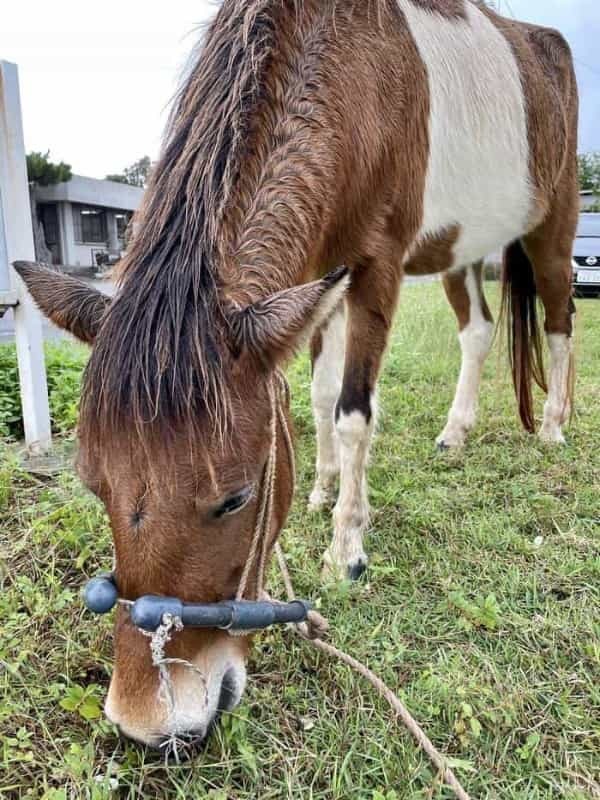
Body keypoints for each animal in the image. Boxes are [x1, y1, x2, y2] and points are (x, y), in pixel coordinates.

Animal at [16, 0, 580, 752]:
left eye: (235, 498)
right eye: (92, 484)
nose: (149, 723)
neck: (353, 68)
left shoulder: (373, 268)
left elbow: (352, 411)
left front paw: (346, 550)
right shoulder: (320, 273)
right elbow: (314, 397)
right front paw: (320, 489)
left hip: (555, 223)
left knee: (561, 313)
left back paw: (553, 427)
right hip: (461, 252)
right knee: (479, 332)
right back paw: (456, 432)